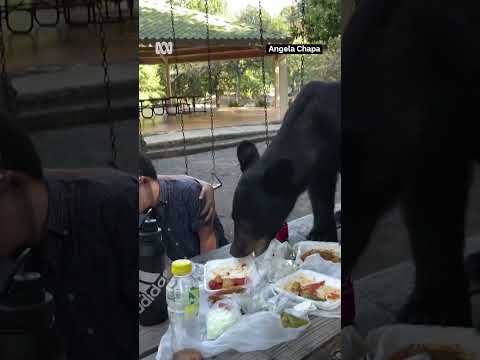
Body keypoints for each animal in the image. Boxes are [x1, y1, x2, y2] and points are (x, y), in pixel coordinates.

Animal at [230, 80, 340, 258]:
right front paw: (320, 233)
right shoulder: (319, 169)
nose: (235, 251)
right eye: (233, 218)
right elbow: (320, 198)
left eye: (248, 223)